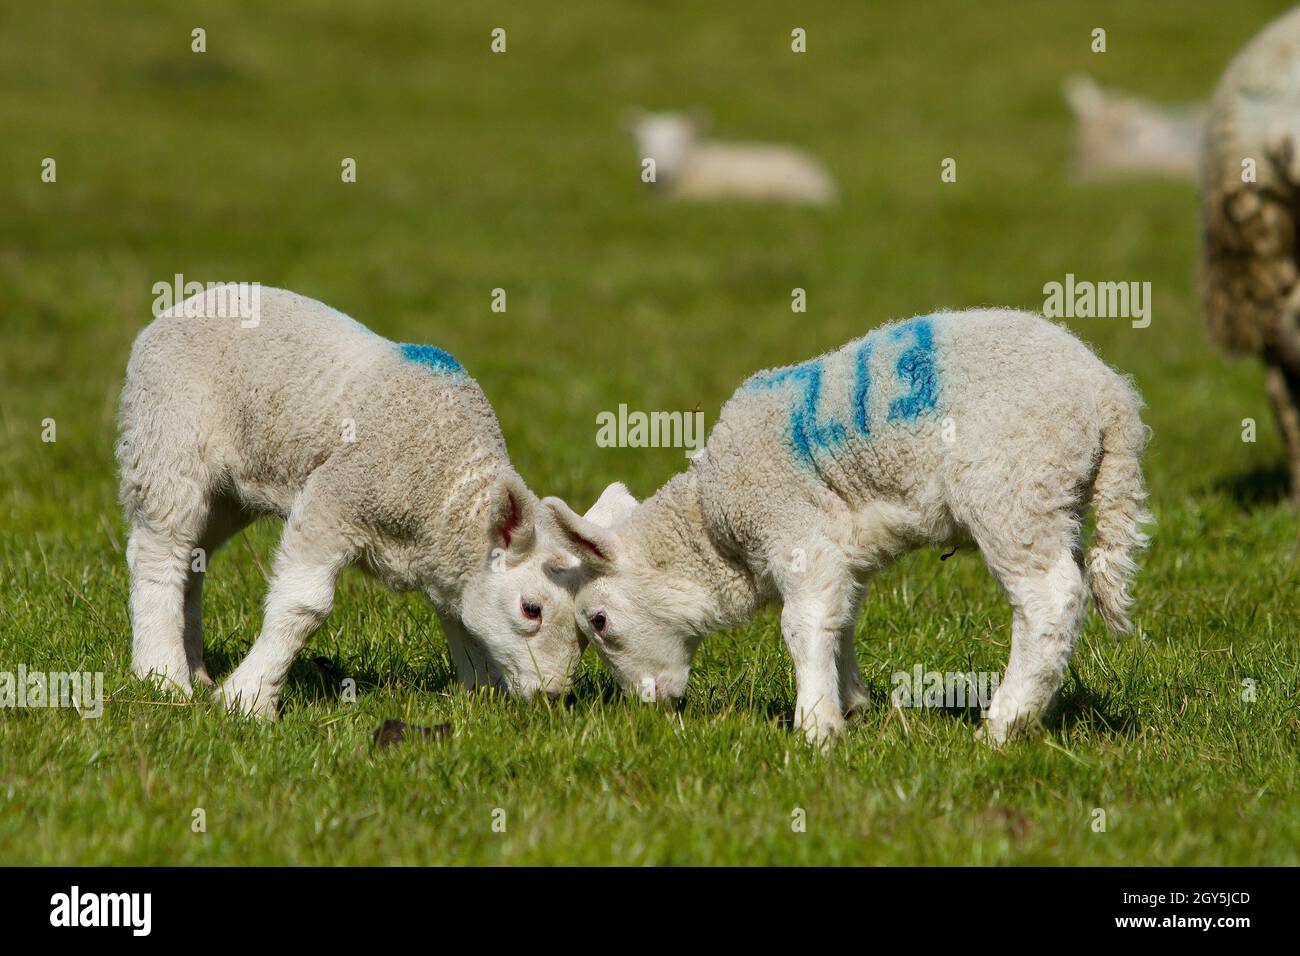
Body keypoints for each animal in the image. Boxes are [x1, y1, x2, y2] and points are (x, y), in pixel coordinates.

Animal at [117, 285, 588, 717]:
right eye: (531, 609)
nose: (550, 695)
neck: (445, 472)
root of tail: (191, 299)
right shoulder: (334, 501)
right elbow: (303, 606)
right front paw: (247, 700)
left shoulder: (443, 549)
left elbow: (458, 615)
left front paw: (481, 693)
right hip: (166, 441)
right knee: (159, 550)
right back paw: (163, 676)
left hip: (227, 494)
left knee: (192, 558)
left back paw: (195, 670)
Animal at [544, 309, 1151, 747]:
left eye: (598, 621)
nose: (648, 710)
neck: (713, 532)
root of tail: (1109, 395)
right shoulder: (838, 547)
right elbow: (842, 617)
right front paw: (852, 703)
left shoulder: (792, 528)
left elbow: (803, 626)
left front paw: (816, 727)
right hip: (1054, 494)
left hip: (1013, 487)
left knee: (1050, 597)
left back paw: (1005, 725)